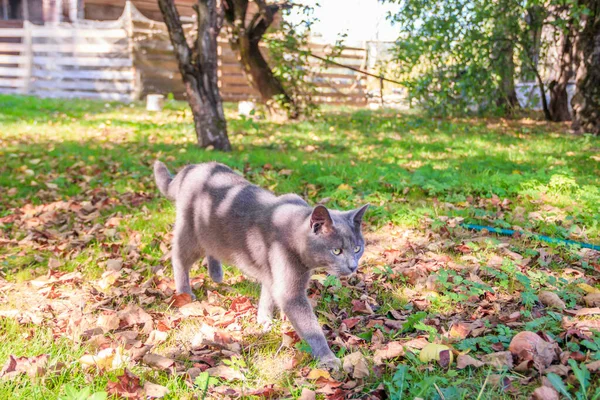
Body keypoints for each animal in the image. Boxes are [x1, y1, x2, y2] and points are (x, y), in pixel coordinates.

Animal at [152, 161, 368, 368]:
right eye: (336, 251)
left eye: (358, 248)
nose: (353, 267)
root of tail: (191, 168)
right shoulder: (289, 289)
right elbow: (309, 327)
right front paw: (328, 359)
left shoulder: (272, 272)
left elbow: (268, 293)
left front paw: (264, 319)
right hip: (191, 231)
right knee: (179, 257)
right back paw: (184, 293)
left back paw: (216, 275)